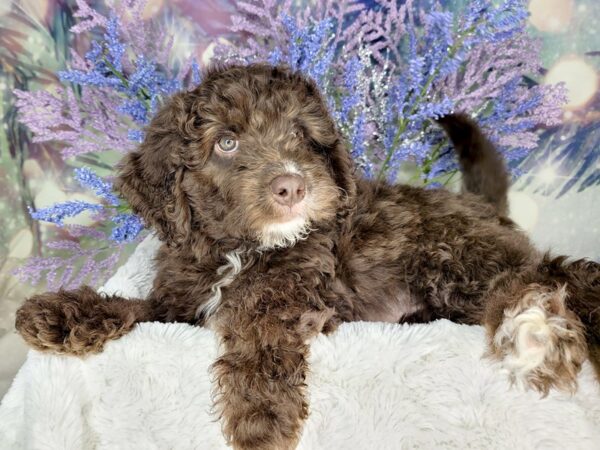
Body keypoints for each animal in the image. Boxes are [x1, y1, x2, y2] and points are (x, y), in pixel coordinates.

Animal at [15, 64, 600, 450]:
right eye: (226, 142)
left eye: (301, 135)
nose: (292, 186)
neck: (241, 251)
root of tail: (482, 206)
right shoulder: (178, 305)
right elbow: (138, 309)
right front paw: (58, 314)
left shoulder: (298, 297)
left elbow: (260, 336)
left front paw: (260, 418)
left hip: (455, 256)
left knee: (551, 274)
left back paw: (536, 330)